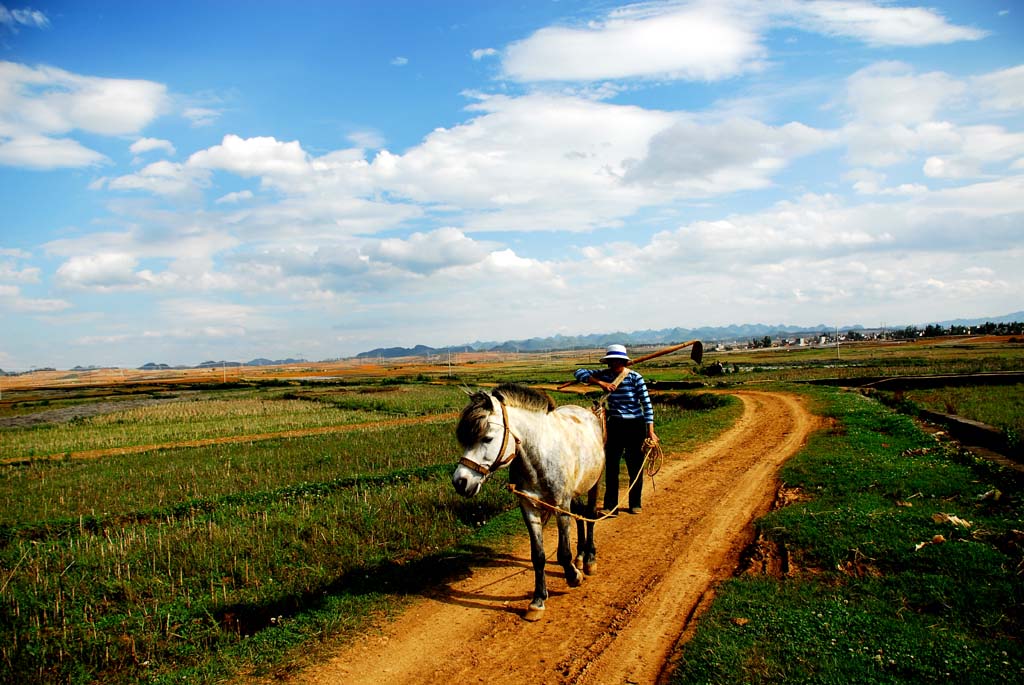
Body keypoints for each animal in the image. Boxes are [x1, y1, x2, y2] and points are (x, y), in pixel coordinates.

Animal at [452, 382, 602, 618]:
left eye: (487, 438)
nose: (460, 481)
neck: (539, 456)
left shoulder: (560, 505)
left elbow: (563, 552)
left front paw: (573, 576)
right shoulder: (528, 507)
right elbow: (538, 556)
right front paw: (538, 600)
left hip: (593, 484)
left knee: (590, 516)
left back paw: (589, 560)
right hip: (575, 492)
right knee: (579, 517)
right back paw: (580, 556)